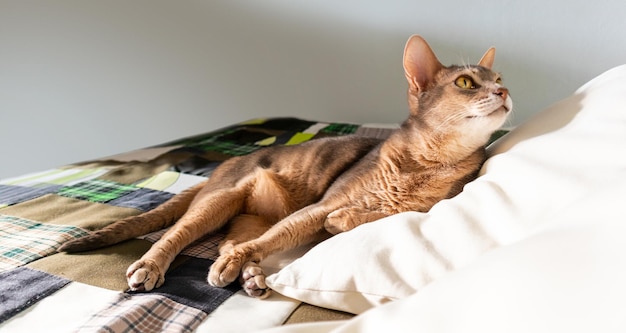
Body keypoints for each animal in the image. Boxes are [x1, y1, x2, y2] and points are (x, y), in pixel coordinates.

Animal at [58, 36, 510, 298]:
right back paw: (153, 266)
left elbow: (374, 216)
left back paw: (244, 272)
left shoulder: (423, 208)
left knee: (233, 242)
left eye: (499, 78)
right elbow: (292, 230)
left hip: (247, 216)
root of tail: (230, 162)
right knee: (176, 234)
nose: (504, 92)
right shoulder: (320, 205)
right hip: (221, 199)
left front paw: (346, 220)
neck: (424, 162)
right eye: (466, 83)